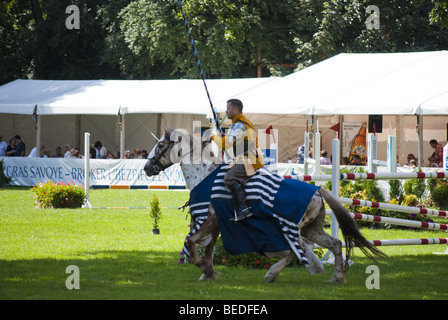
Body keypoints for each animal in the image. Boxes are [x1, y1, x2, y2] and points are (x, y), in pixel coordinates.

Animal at [144, 127, 384, 282]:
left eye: (161, 145)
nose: (146, 167)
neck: (205, 175)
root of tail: (317, 191)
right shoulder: (215, 225)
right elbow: (208, 248)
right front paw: (208, 273)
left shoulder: (208, 220)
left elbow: (191, 241)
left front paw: (204, 268)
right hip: (311, 229)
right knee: (334, 244)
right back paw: (337, 278)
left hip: (291, 228)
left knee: (296, 252)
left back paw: (272, 274)